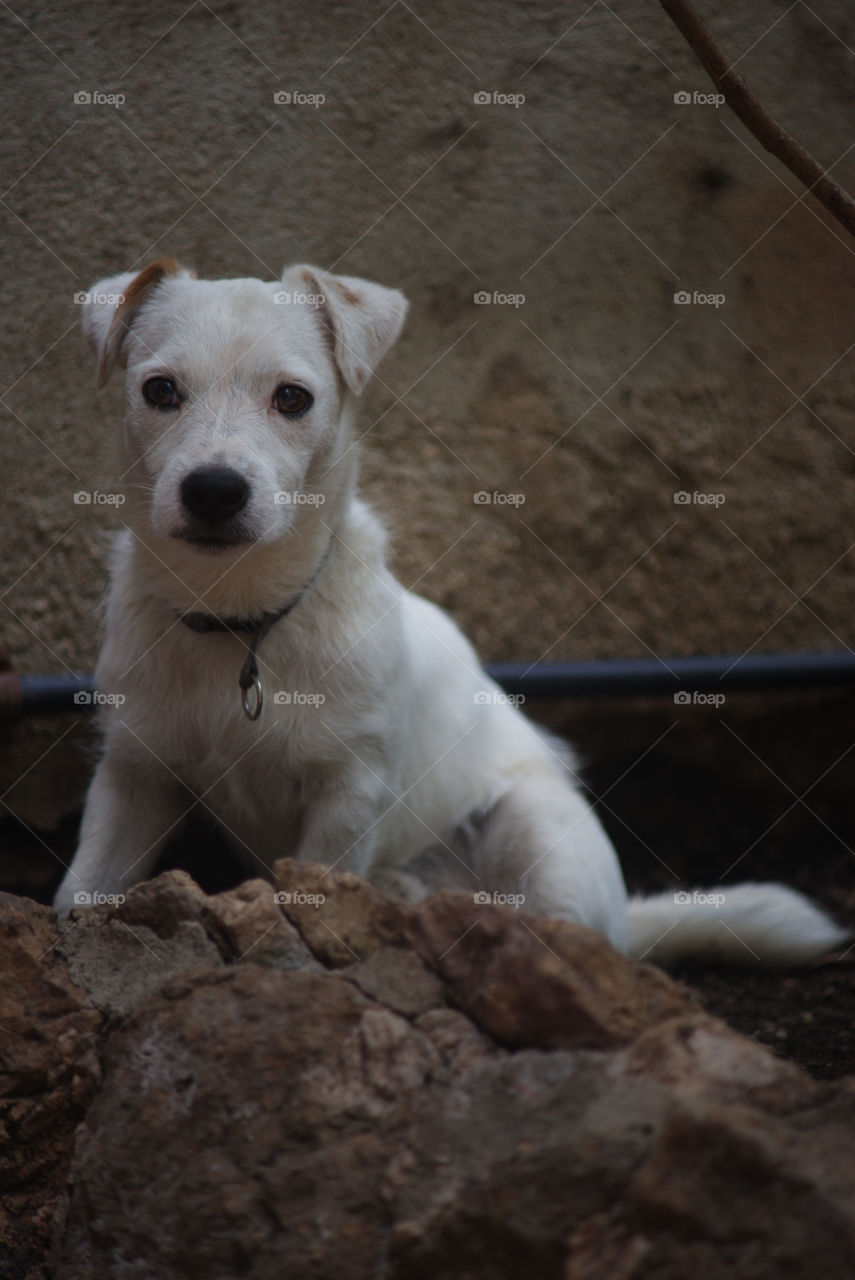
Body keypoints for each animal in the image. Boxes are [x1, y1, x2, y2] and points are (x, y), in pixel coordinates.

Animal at [55, 254, 849, 962]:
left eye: (292, 398)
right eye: (160, 390)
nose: (214, 490)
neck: (243, 620)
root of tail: (626, 923)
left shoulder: (348, 798)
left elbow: (315, 887)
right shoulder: (134, 775)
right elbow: (85, 887)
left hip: (538, 834)